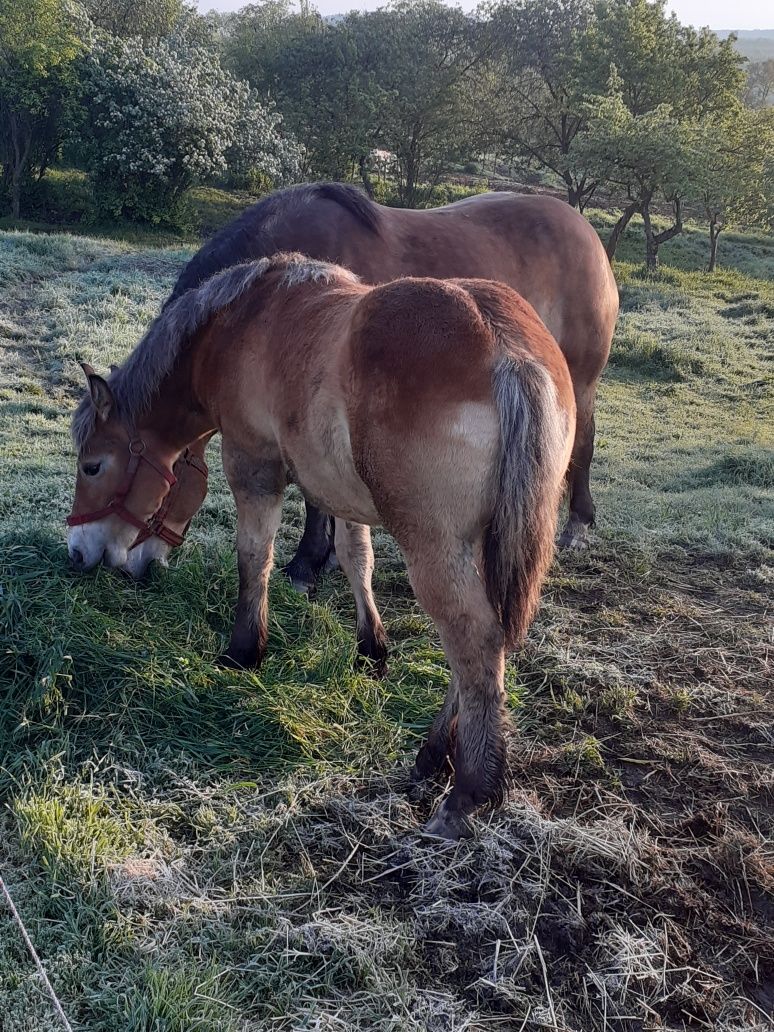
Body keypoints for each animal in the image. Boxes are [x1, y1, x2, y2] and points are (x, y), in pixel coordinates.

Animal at [68, 255, 577, 837]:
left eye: (93, 466)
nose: (78, 552)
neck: (240, 321)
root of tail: (508, 350)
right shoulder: (342, 496)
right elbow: (357, 559)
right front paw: (370, 649)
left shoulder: (255, 468)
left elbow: (255, 558)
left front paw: (245, 649)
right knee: (481, 648)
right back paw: (431, 758)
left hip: (435, 546)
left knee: (475, 641)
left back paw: (467, 792)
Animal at [127, 184, 623, 586]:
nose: (135, 567)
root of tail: (586, 231)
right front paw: (323, 558)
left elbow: (315, 496)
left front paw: (306, 564)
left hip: (579, 381)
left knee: (582, 443)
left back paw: (578, 525)